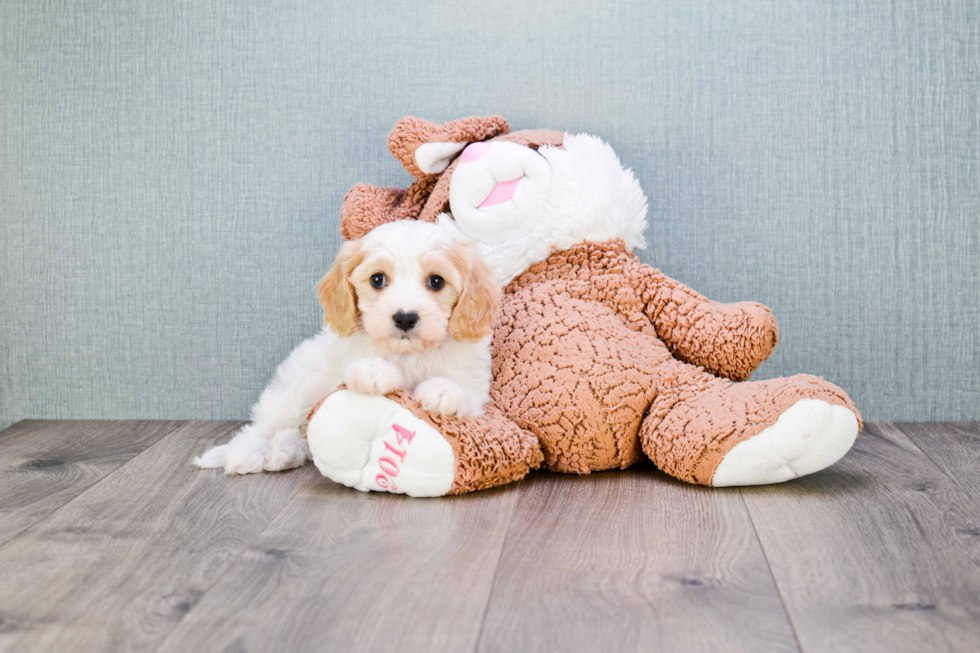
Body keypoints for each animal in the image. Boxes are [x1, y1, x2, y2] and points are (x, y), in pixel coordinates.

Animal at [193, 219, 498, 474]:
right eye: (377, 279)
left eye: (436, 281)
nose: (405, 317)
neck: (408, 354)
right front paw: (373, 371)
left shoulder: (475, 387)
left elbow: (464, 393)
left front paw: (444, 391)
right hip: (301, 382)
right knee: (268, 425)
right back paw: (246, 454)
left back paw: (283, 452)